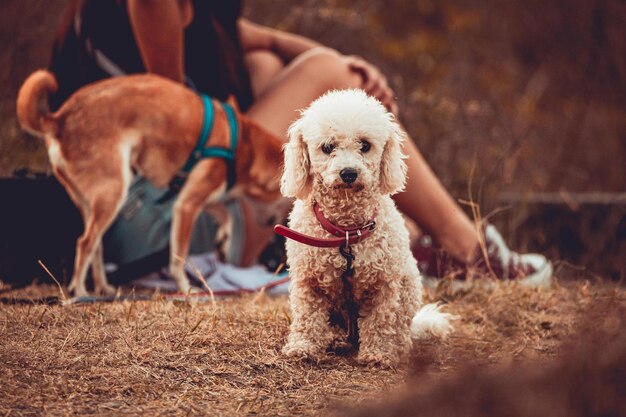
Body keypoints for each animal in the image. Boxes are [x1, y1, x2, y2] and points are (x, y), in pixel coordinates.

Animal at [15, 69, 282, 296]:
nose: (275, 229)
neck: (243, 145)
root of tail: (59, 119)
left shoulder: (193, 197)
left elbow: (225, 213)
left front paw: (224, 240)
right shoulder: (187, 204)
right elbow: (179, 256)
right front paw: (186, 288)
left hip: (91, 203)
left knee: (95, 245)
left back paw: (102, 288)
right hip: (114, 191)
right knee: (85, 243)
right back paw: (79, 292)